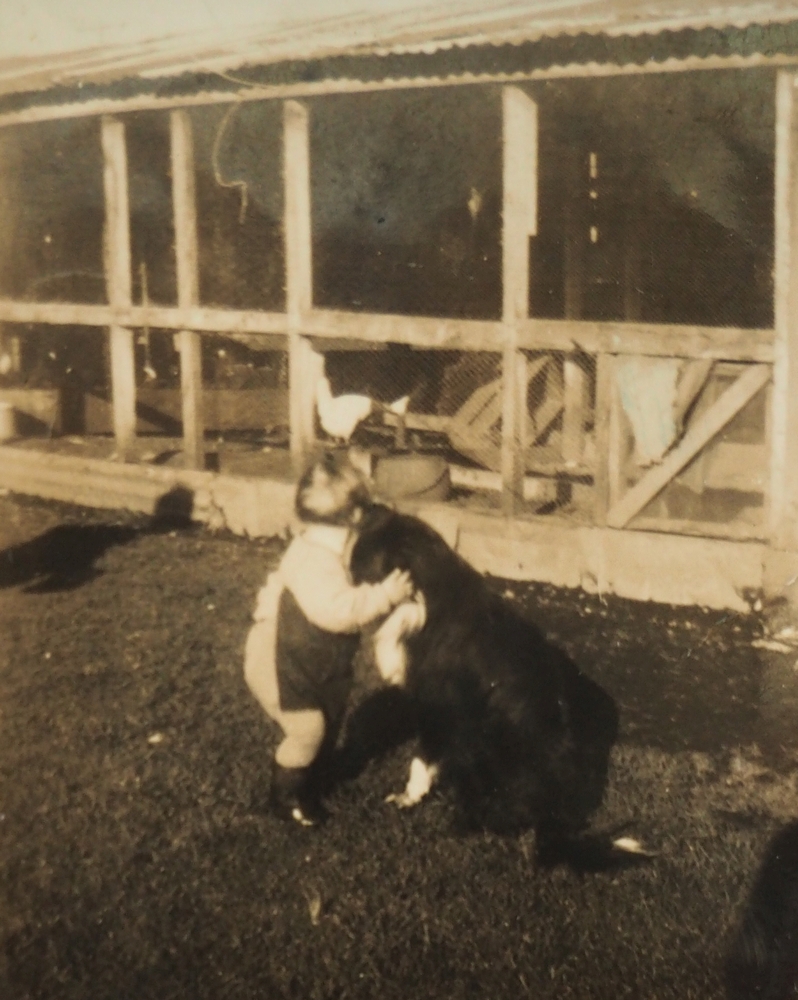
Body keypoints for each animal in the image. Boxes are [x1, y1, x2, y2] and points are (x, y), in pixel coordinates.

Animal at [346, 504, 636, 864]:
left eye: (360, 566)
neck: (422, 593)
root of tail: (557, 818)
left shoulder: (438, 707)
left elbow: (421, 760)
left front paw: (409, 798)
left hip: (488, 740)